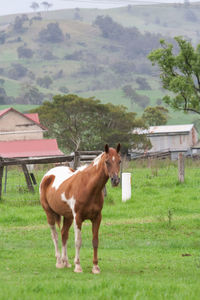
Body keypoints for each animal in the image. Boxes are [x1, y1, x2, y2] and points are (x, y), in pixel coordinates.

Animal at [39, 144, 120, 274]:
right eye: (107, 162)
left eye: (119, 161)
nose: (115, 180)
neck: (88, 187)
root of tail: (48, 175)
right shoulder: (78, 217)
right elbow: (78, 241)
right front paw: (78, 266)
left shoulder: (97, 218)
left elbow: (95, 241)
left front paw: (95, 267)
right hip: (49, 214)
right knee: (55, 236)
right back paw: (59, 262)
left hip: (68, 217)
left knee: (64, 234)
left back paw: (66, 262)